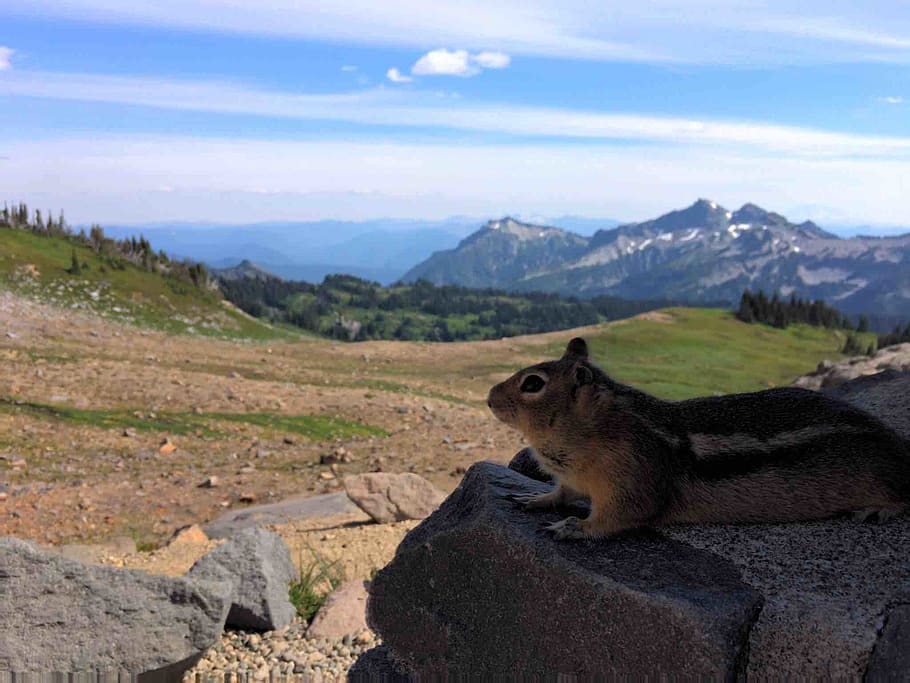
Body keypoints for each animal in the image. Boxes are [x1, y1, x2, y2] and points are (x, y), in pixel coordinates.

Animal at [487, 337, 910, 540]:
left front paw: (571, 528)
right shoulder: (574, 479)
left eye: (532, 384)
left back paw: (878, 510)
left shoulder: (631, 483)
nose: (489, 397)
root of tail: (898, 446)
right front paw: (536, 498)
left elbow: (616, 518)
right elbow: (562, 493)